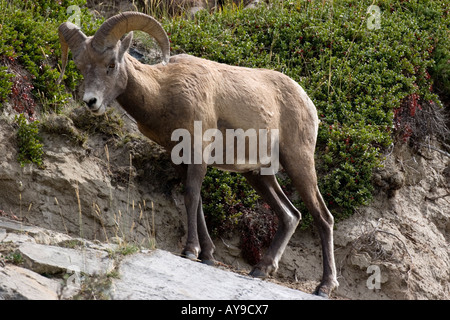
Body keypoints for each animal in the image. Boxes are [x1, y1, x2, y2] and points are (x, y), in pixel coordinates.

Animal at [57, 12, 338, 298]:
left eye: (111, 65)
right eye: (81, 67)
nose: (91, 102)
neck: (163, 92)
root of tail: (308, 102)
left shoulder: (198, 152)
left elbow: (191, 196)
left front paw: (190, 251)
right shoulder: (180, 157)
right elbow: (198, 201)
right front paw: (207, 256)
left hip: (298, 162)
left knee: (323, 217)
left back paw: (324, 286)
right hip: (258, 174)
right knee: (291, 215)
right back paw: (261, 269)